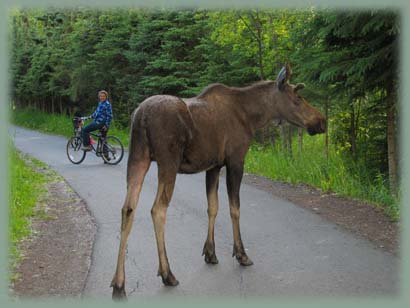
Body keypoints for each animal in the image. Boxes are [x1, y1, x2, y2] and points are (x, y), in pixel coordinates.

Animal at [110, 63, 326, 298]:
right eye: (297, 99)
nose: (322, 121)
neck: (253, 117)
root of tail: (141, 116)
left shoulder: (213, 166)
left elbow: (212, 207)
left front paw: (210, 253)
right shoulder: (235, 160)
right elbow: (234, 208)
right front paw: (241, 254)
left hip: (138, 157)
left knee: (127, 209)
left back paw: (119, 284)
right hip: (168, 162)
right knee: (157, 209)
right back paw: (167, 274)